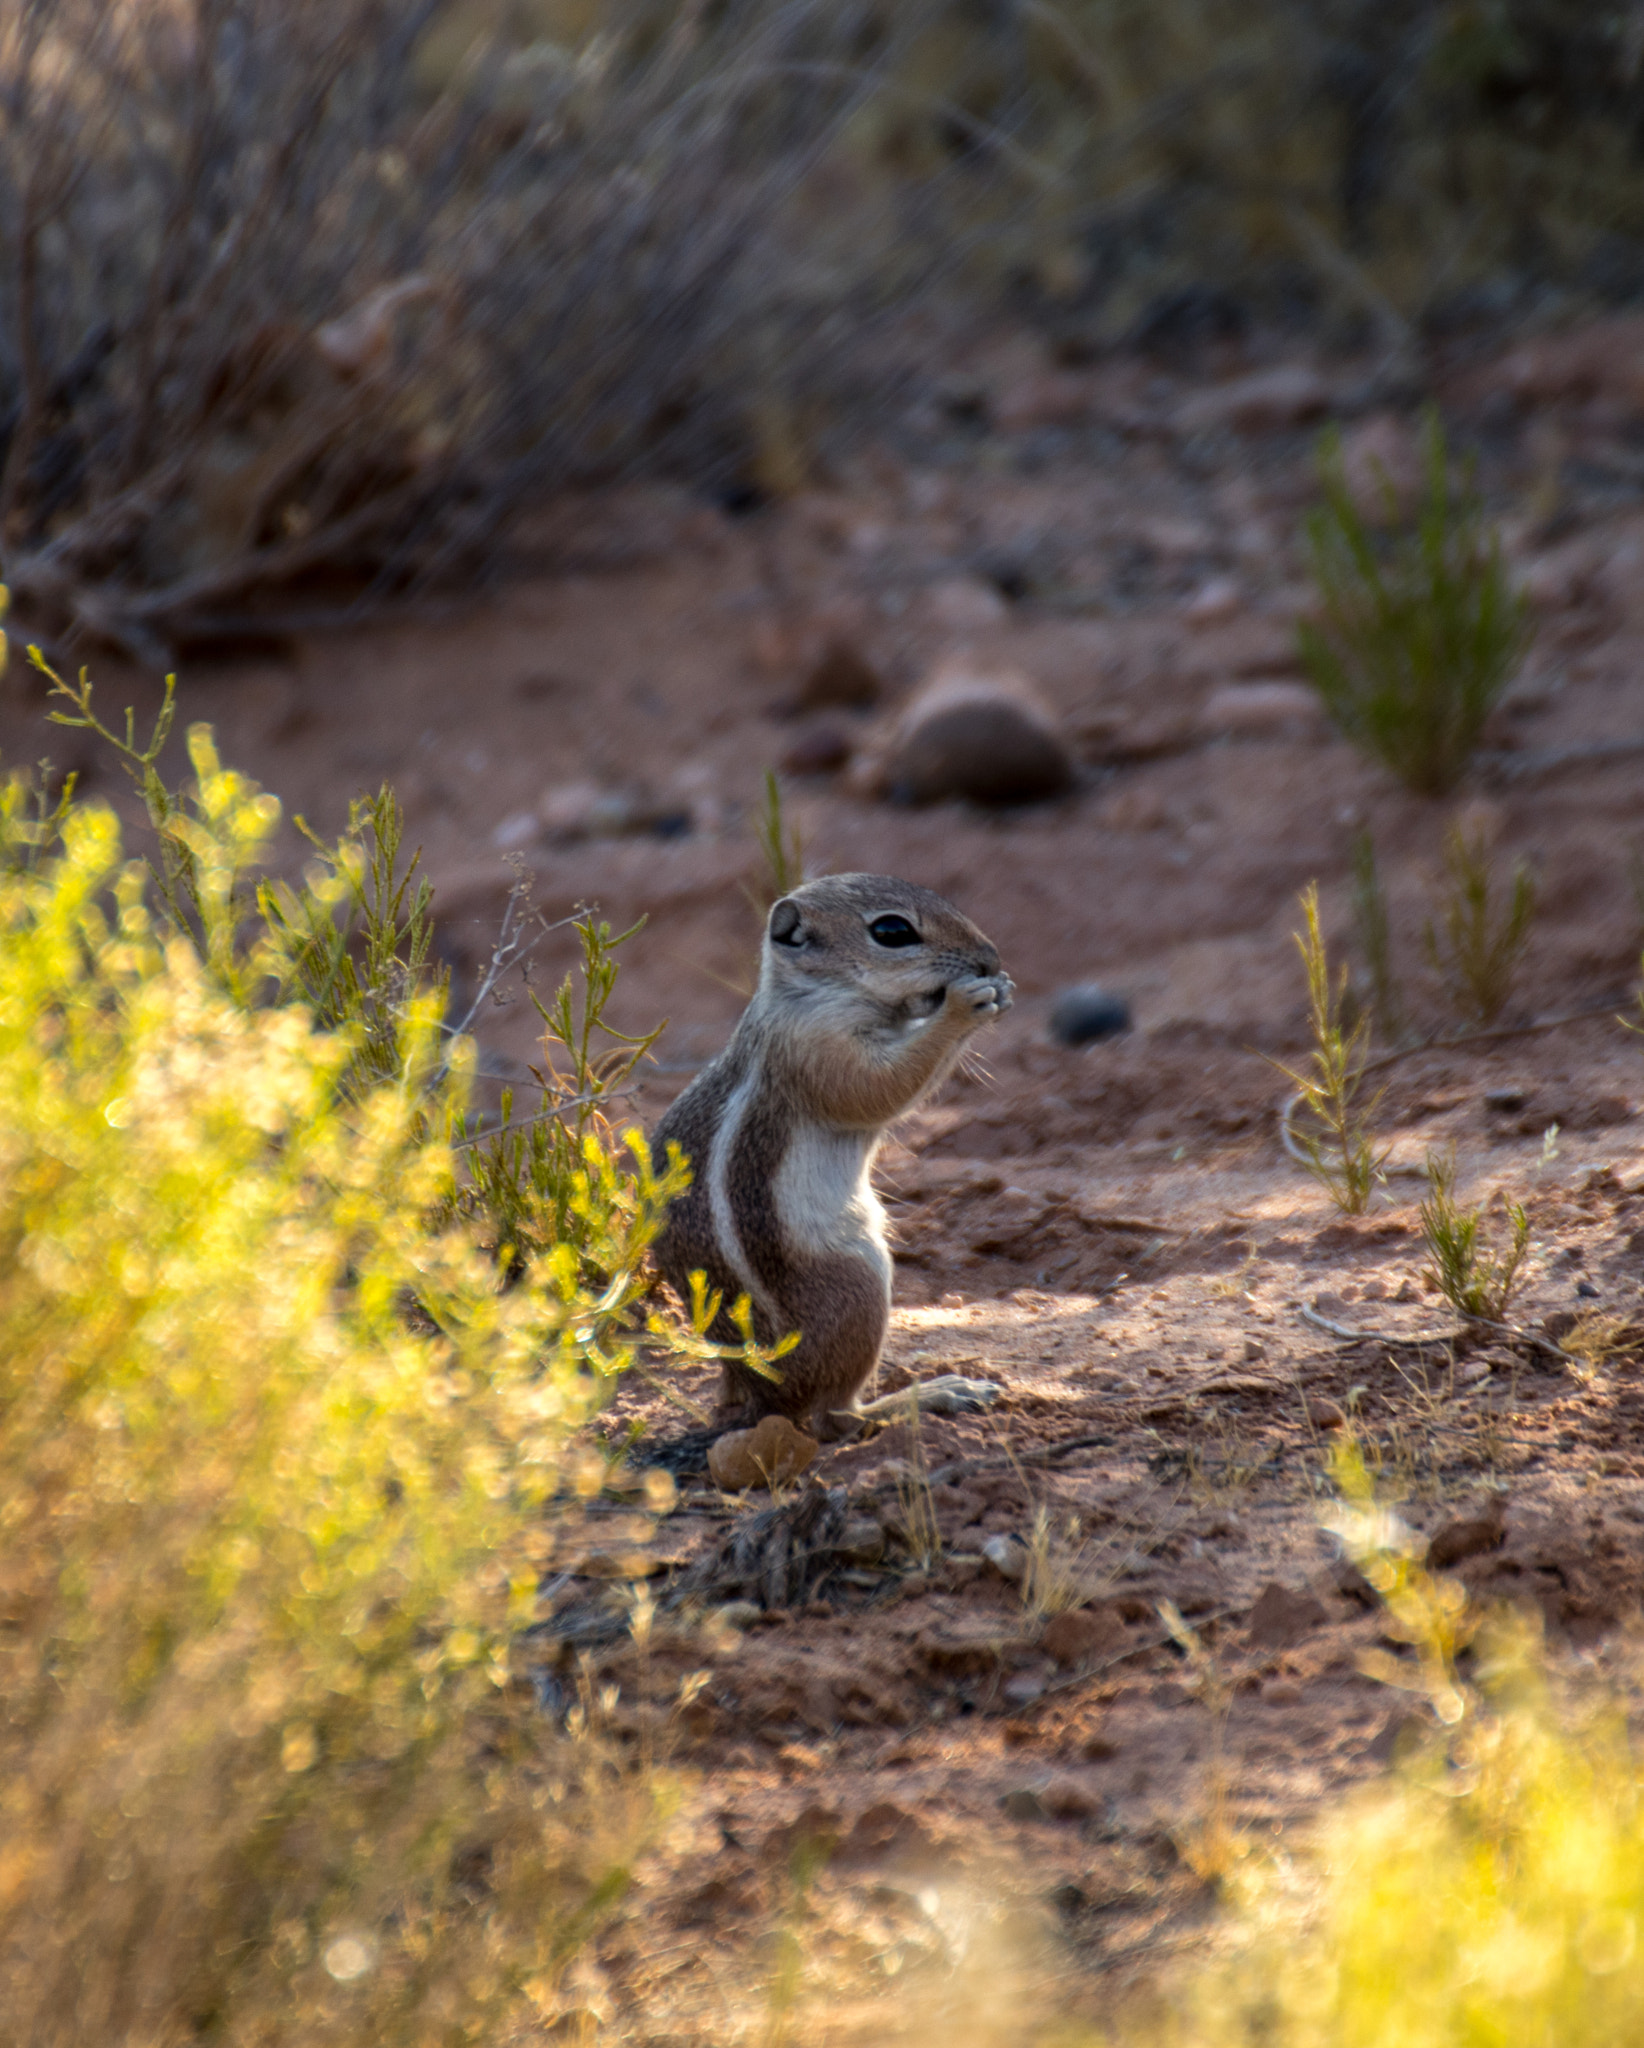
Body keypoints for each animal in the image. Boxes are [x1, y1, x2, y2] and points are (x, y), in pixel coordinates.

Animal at [650, 873, 1013, 1441]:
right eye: (892, 931)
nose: (989, 958)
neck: (809, 994)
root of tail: (771, 1396)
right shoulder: (820, 1045)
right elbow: (877, 1089)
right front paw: (963, 1005)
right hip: (860, 1283)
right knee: (836, 1417)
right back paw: (934, 1394)